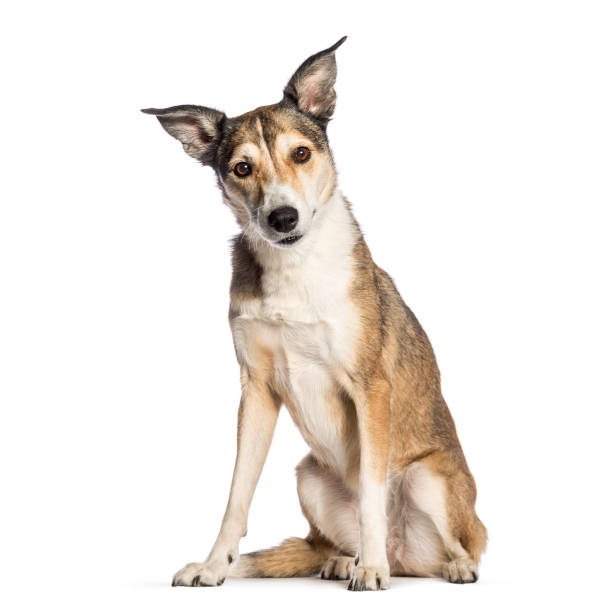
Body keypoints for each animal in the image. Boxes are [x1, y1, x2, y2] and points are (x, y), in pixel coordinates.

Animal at [143, 35, 486, 592]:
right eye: (242, 168)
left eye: (300, 154)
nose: (282, 217)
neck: (295, 267)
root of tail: (408, 557)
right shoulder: (257, 390)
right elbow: (236, 497)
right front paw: (214, 566)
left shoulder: (370, 387)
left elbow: (371, 494)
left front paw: (371, 571)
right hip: (309, 476)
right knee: (332, 541)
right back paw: (343, 559)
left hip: (427, 478)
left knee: (460, 543)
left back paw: (428, 563)